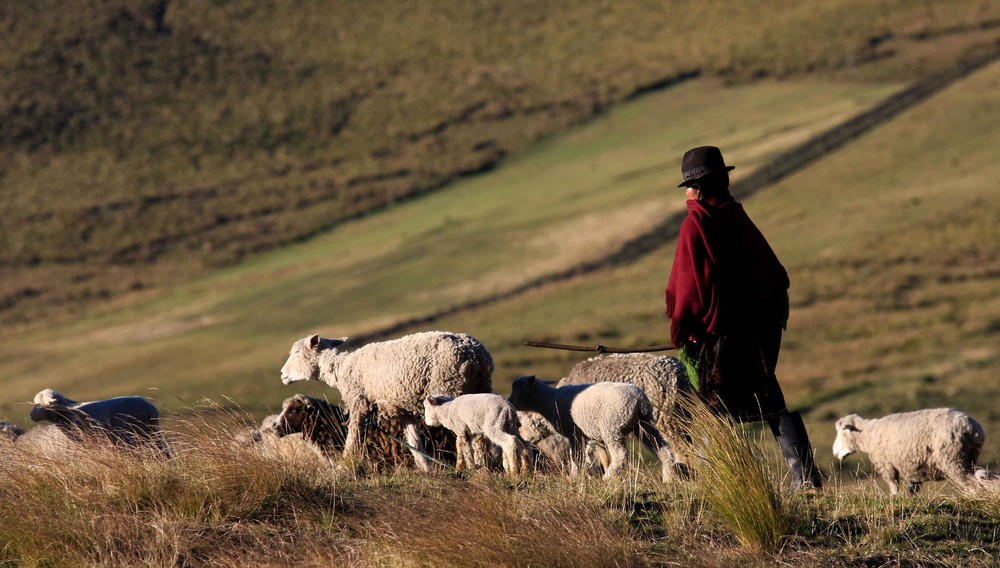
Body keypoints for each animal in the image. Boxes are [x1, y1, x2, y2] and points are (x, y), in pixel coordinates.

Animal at [28, 388, 171, 460]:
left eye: (39, 404)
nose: (31, 415)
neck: (68, 411)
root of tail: (149, 409)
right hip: (152, 432)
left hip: (131, 435)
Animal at [508, 374, 680, 482]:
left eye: (517, 389)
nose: (510, 401)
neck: (548, 400)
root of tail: (639, 401)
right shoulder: (584, 435)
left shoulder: (574, 433)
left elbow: (576, 457)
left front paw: (574, 476)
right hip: (644, 424)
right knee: (663, 448)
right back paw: (668, 478)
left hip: (613, 426)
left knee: (620, 455)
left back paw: (608, 477)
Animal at [832, 408, 988, 492]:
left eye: (841, 431)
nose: (835, 452)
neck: (869, 435)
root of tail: (973, 429)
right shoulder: (913, 470)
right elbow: (913, 491)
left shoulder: (887, 467)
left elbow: (894, 488)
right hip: (970, 458)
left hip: (953, 459)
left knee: (972, 485)